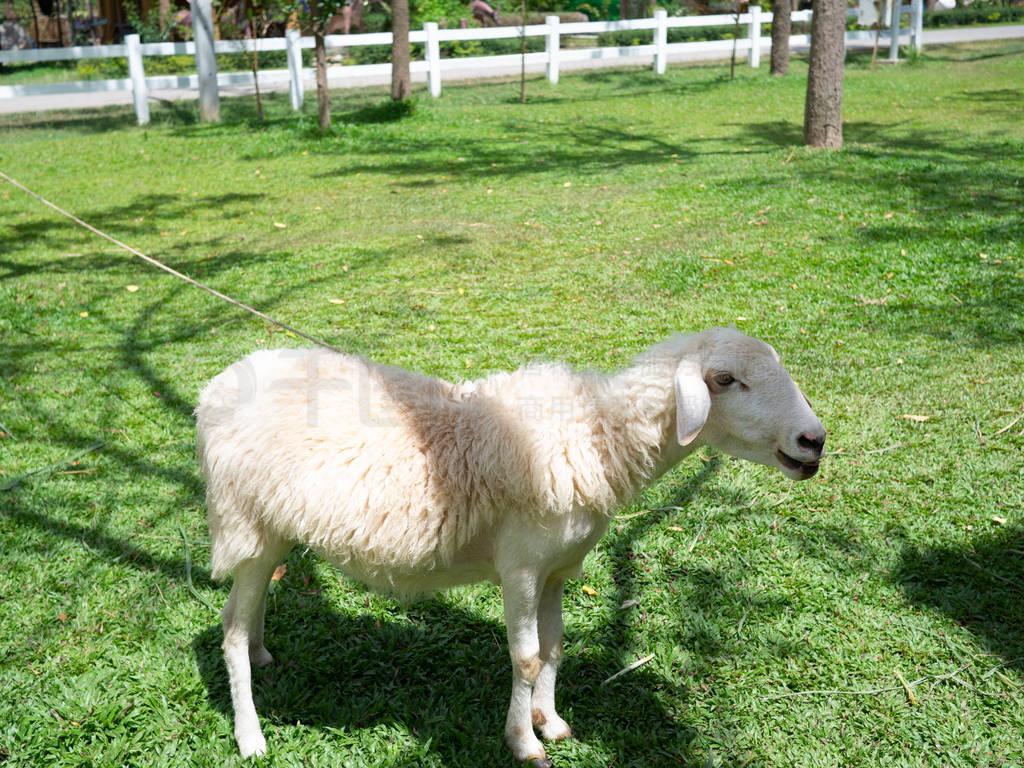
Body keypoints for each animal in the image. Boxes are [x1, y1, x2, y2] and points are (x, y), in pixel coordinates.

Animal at [195, 327, 827, 765]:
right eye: (726, 380)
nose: (814, 441)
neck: (596, 435)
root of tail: (217, 386)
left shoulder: (557, 568)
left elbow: (554, 648)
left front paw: (551, 719)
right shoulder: (521, 565)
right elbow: (525, 657)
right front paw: (525, 742)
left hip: (273, 527)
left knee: (248, 610)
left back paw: (262, 655)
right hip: (245, 522)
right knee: (229, 629)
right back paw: (250, 735)